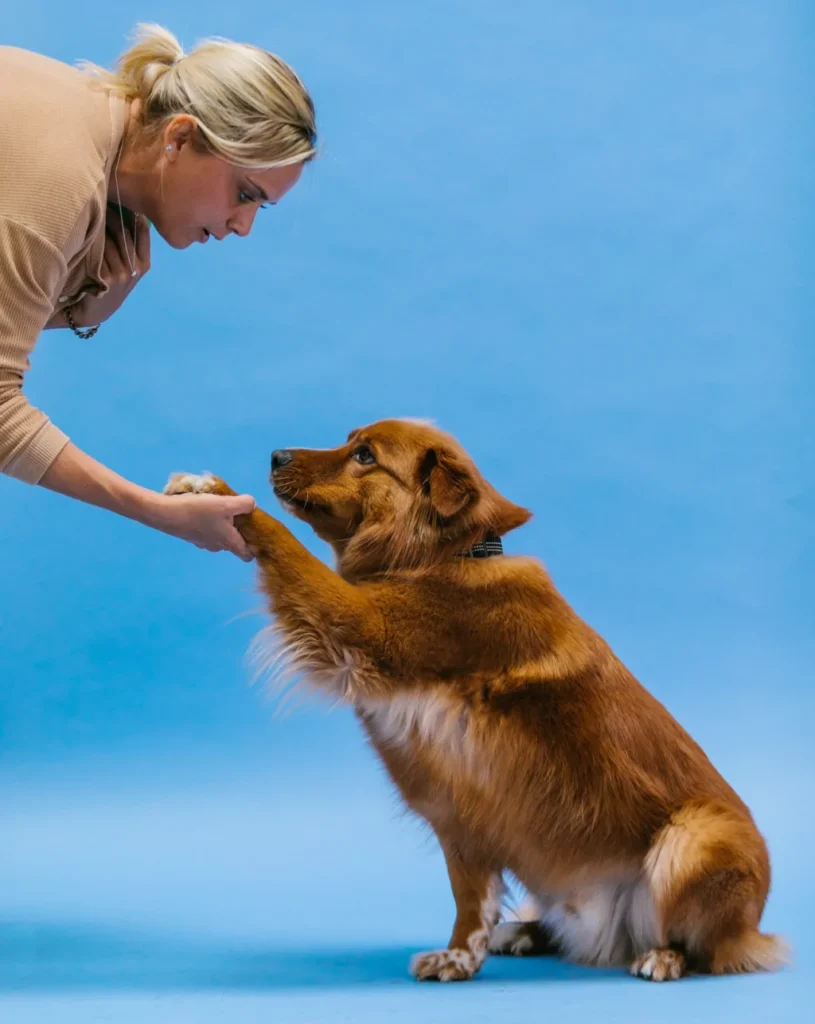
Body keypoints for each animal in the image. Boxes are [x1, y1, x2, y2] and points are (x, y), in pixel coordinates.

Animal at [166, 417, 790, 983]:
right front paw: (462, 955)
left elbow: (287, 544)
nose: (275, 454)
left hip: (694, 836)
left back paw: (663, 956)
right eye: (347, 441)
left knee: (706, 946)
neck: (449, 556)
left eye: (365, 455)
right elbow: (473, 899)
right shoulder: (460, 808)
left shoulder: (364, 626)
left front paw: (214, 492)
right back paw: (528, 933)